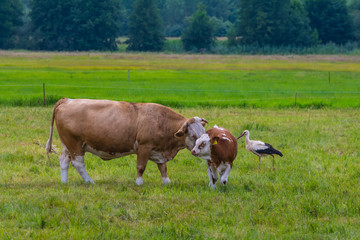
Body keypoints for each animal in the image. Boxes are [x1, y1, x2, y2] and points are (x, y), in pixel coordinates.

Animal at [46, 98, 207, 185]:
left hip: (67, 145)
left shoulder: (159, 151)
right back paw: (90, 181)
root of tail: (68, 100)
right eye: (193, 135)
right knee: (78, 163)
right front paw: (139, 183)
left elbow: (163, 167)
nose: (199, 149)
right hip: (75, 145)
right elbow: (141, 167)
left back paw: (64, 181)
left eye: (203, 134)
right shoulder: (144, 146)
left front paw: (167, 182)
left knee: (64, 160)